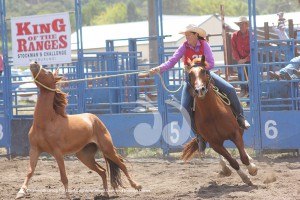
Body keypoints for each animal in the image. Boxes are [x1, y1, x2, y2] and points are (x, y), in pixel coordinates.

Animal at [16, 61, 142, 199]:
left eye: (48, 72)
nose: (34, 63)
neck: (46, 123)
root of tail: (95, 118)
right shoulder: (35, 149)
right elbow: (30, 171)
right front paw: (21, 192)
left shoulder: (57, 153)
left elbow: (64, 177)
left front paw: (68, 197)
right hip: (84, 156)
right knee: (103, 171)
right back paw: (105, 193)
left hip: (107, 148)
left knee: (121, 164)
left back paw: (136, 186)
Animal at [180, 55, 258, 186]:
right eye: (190, 74)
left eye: (203, 71)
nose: (199, 90)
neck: (212, 114)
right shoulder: (215, 143)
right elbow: (232, 161)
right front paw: (245, 177)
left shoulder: (235, 134)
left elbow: (243, 157)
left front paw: (252, 169)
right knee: (223, 157)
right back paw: (225, 168)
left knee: (243, 151)